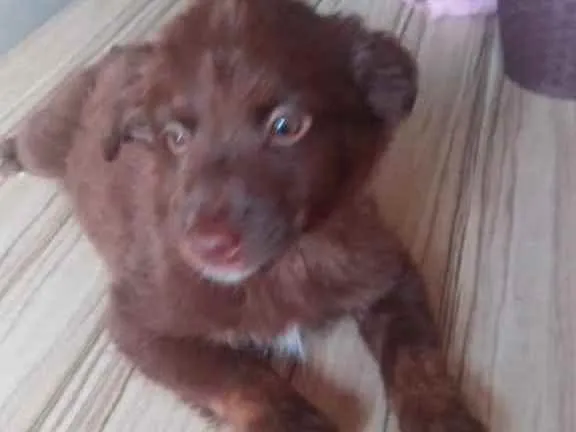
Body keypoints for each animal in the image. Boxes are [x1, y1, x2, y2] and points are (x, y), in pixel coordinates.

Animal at [0, 0, 486, 430]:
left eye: (286, 126)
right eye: (175, 138)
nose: (207, 246)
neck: (286, 262)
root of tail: (117, 54)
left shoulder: (387, 269)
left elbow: (417, 359)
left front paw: (444, 419)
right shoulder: (138, 319)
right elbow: (238, 375)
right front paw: (297, 425)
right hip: (48, 141)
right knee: (26, 138)